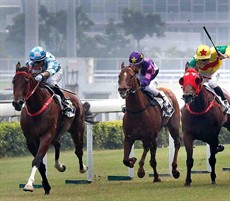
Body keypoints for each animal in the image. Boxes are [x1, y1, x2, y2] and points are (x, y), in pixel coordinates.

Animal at [12, 62, 88, 194]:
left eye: (26, 81)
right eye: (13, 81)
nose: (17, 103)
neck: (36, 108)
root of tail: (75, 96)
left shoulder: (46, 136)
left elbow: (37, 160)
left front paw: (29, 185)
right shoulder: (30, 140)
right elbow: (41, 164)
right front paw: (46, 186)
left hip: (77, 129)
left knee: (78, 150)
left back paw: (82, 168)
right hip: (56, 133)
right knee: (58, 144)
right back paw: (59, 166)